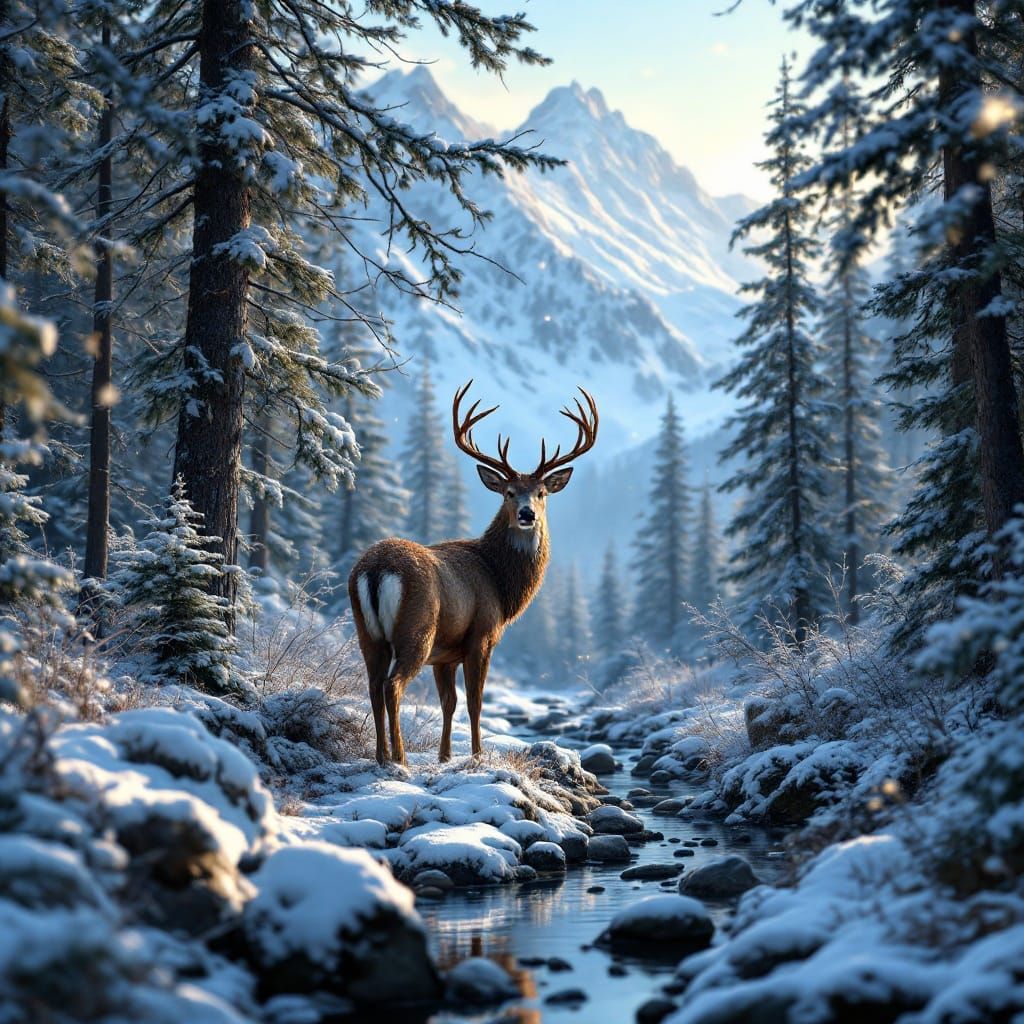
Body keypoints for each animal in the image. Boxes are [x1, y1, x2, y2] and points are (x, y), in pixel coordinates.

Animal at [348, 380, 599, 765]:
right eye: (509, 492)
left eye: (541, 492)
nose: (527, 514)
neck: (499, 580)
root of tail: (376, 569)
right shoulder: (482, 634)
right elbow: (475, 702)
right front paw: (477, 755)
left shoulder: (445, 655)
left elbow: (448, 703)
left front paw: (445, 756)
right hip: (416, 629)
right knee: (392, 685)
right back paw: (399, 757)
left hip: (368, 633)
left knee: (373, 685)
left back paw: (380, 755)